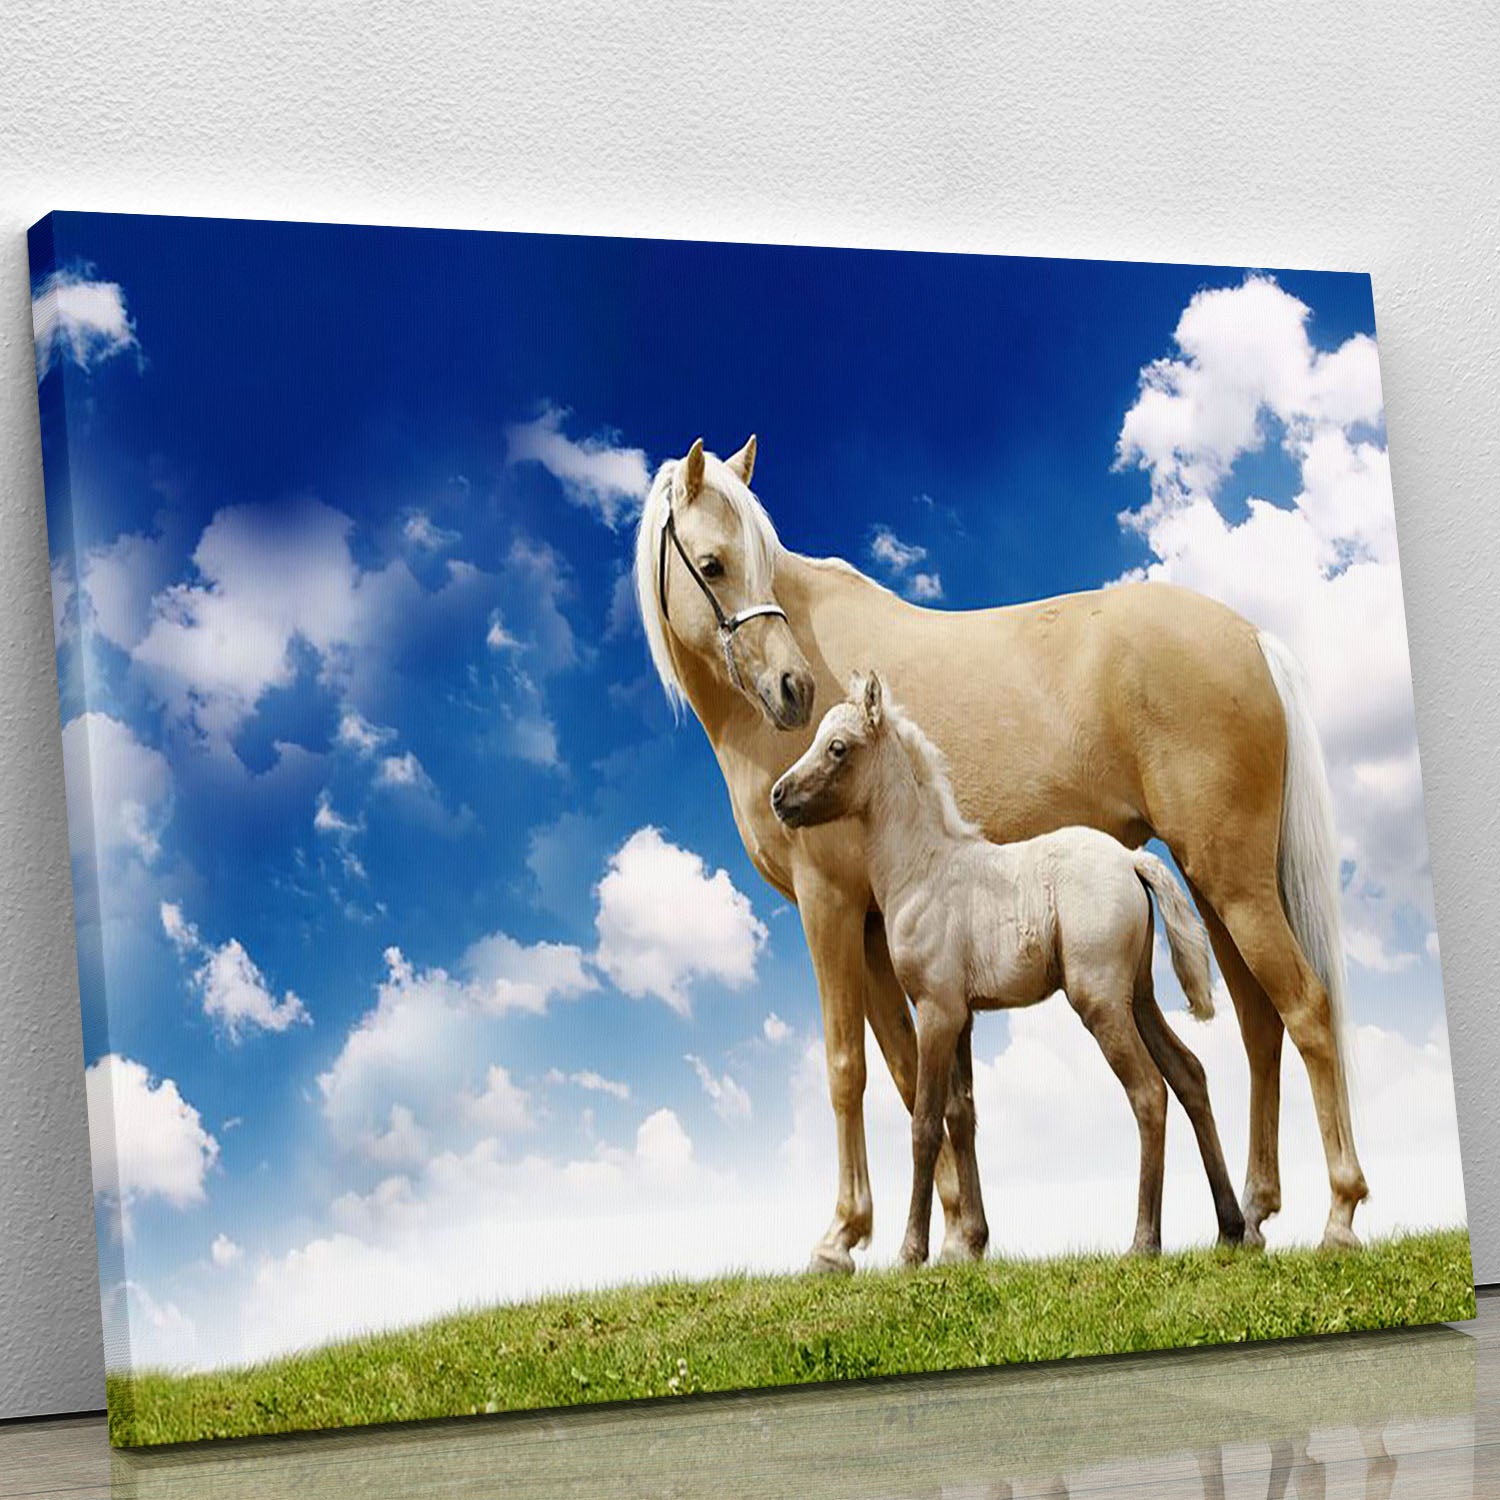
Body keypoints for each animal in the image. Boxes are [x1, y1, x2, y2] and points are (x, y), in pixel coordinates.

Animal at [771, 670, 1245, 1262]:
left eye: (837, 747)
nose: (778, 796)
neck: (925, 869)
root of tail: (1132, 859)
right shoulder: (964, 1017)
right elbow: (962, 1115)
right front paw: (970, 1244)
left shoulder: (936, 1011)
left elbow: (925, 1124)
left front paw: (911, 1251)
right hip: (1137, 998)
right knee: (1190, 1075)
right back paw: (1232, 1228)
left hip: (1100, 1003)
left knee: (1149, 1093)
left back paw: (1143, 1241)